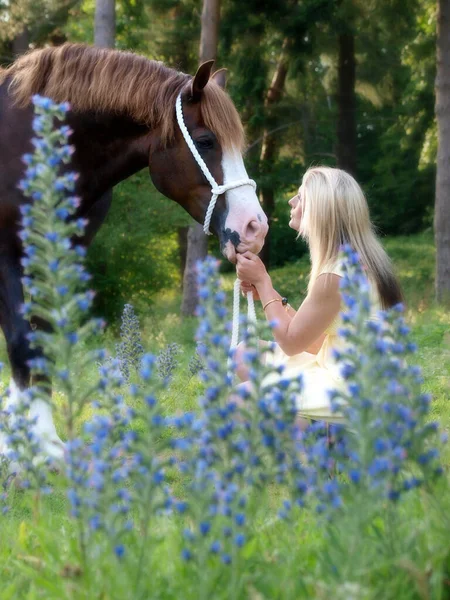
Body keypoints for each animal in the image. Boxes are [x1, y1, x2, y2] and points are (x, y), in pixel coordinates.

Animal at [0, 44, 268, 462]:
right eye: (206, 141)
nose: (255, 227)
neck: (27, 142)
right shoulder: (6, 253)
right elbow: (19, 340)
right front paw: (21, 445)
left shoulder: (60, 252)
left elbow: (42, 334)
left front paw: (43, 441)